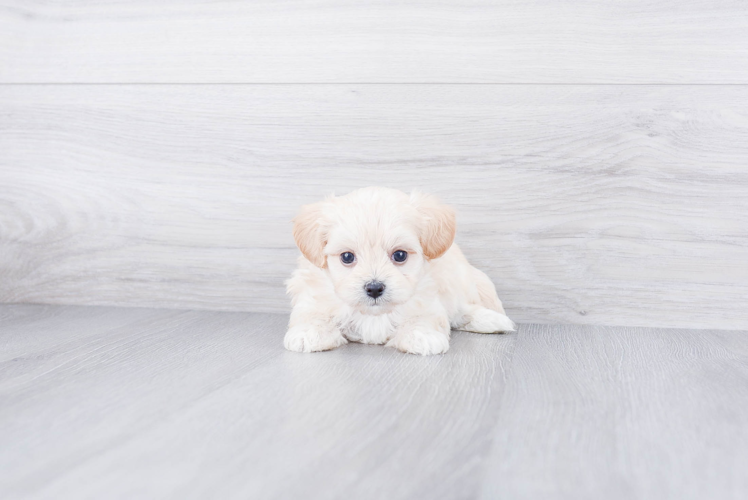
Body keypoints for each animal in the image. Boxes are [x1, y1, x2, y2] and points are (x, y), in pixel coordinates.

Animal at [282, 188, 516, 356]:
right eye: (347, 257)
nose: (374, 288)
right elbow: (312, 314)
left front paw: (422, 335)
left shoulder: (428, 298)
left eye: (400, 255)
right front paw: (308, 333)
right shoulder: (312, 294)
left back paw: (492, 320)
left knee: (462, 309)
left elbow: (425, 317)